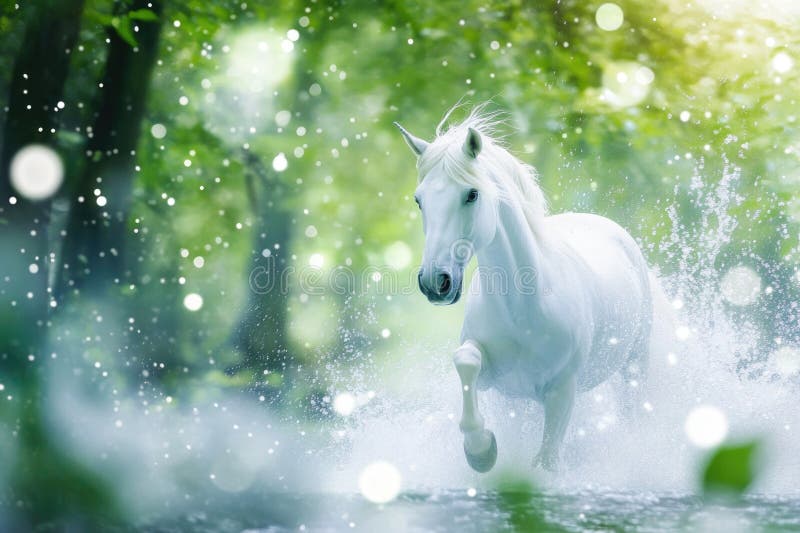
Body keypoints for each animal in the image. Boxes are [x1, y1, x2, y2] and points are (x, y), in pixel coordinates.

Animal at [395, 106, 666, 472]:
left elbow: (546, 463)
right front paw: (481, 450)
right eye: (419, 200)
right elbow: (466, 360)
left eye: (472, 194)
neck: (523, 309)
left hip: (633, 366)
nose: (436, 282)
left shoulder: (562, 392)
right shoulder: (495, 381)